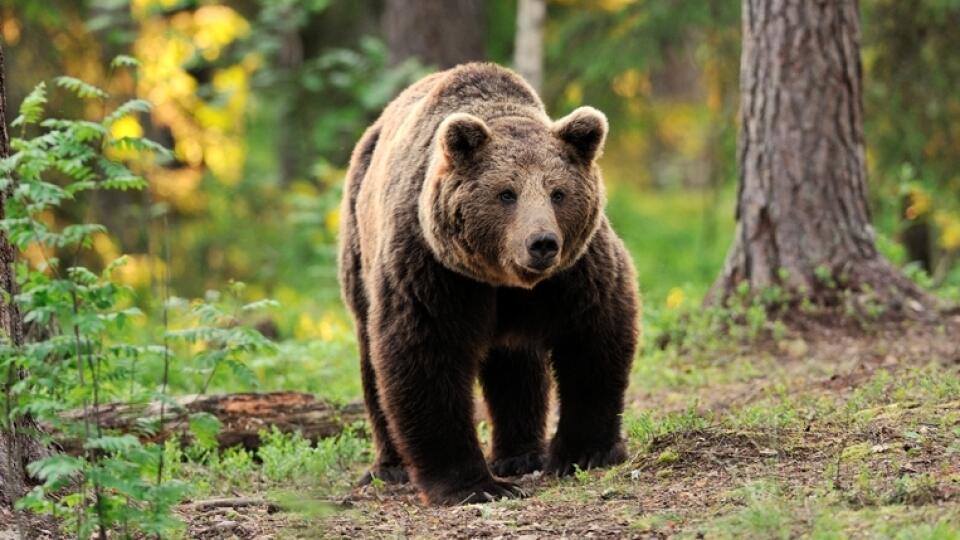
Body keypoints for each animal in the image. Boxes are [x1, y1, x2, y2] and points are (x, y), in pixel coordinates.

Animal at [338, 63, 636, 506]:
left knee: (516, 362)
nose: (542, 243)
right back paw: (390, 466)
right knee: (372, 360)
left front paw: (585, 452)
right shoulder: (434, 270)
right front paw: (472, 484)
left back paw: (520, 454)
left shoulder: (574, 272)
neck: (501, 278)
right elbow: (425, 357)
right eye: (506, 193)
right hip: (360, 249)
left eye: (558, 192)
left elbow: (593, 338)